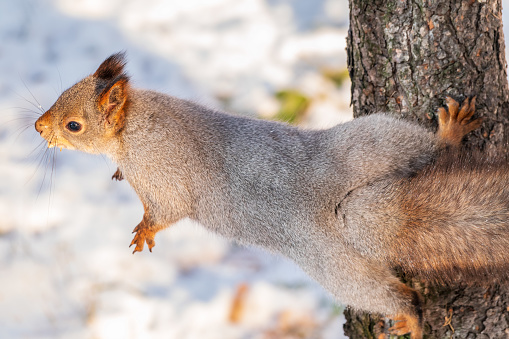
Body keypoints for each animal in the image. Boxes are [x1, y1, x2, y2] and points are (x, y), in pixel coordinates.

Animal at [34, 53, 504, 339]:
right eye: (60, 94)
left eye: (74, 125)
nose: (38, 127)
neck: (135, 124)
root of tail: (351, 213)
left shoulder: (161, 175)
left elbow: (166, 210)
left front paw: (145, 229)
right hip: (372, 150)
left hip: (339, 259)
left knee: (392, 293)